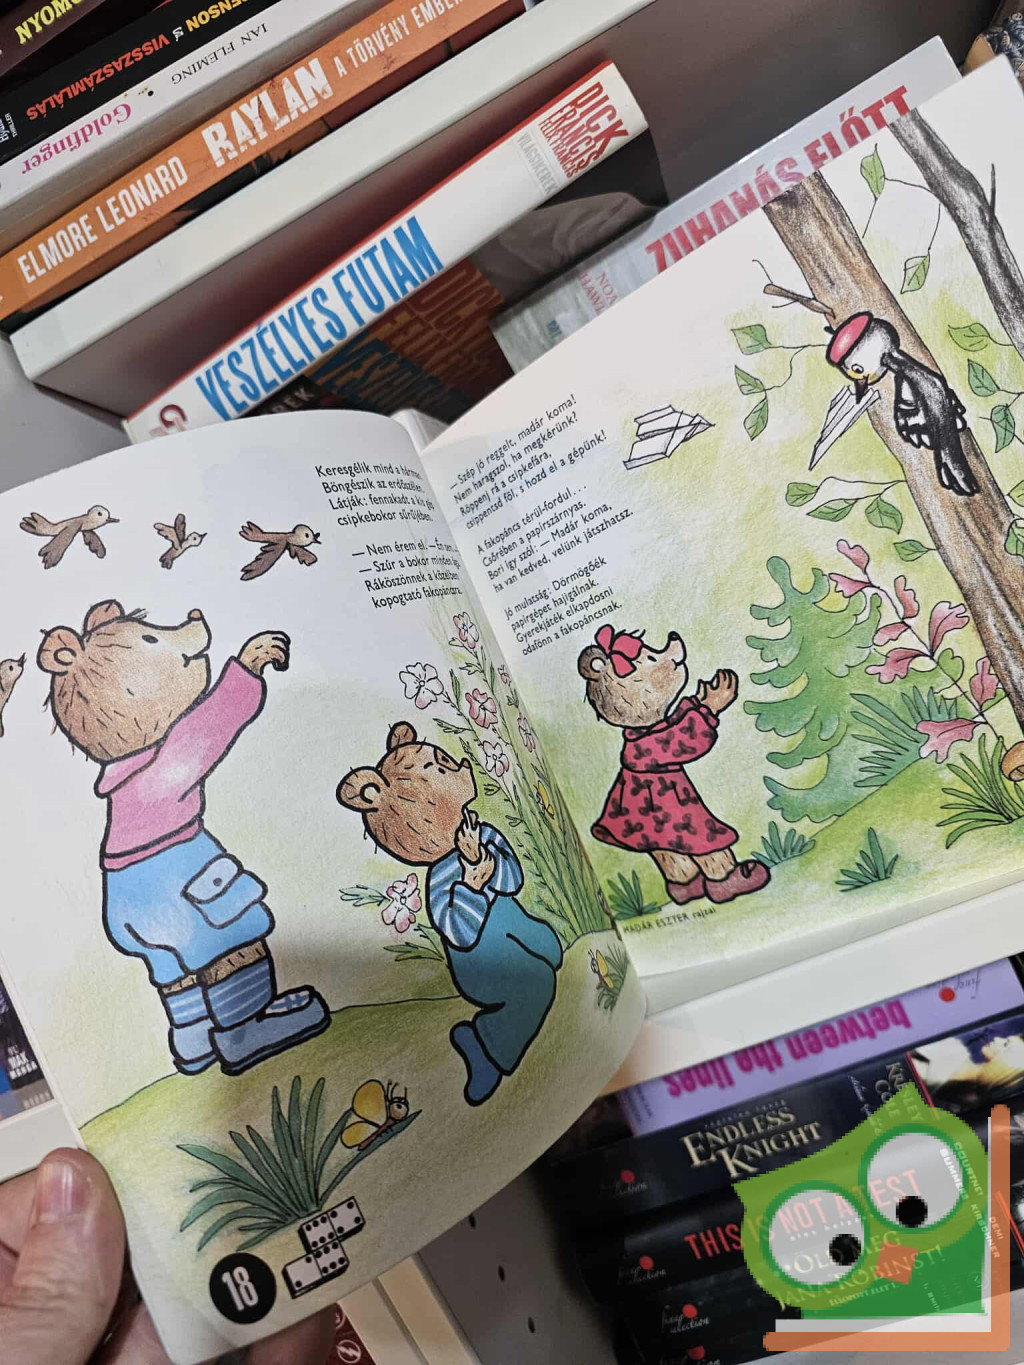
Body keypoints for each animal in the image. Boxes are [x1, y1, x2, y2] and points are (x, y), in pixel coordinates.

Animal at [37, 600, 328, 1077]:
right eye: (150, 637)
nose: (195, 613)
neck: (130, 757)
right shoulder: (173, 762)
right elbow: (212, 724)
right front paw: (254, 656)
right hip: (211, 917)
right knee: (231, 965)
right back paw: (260, 1038)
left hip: (148, 946)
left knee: (178, 988)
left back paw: (195, 1057)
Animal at [337, 722, 562, 1106]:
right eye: (438, 766)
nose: (460, 762)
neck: (448, 848)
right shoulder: (439, 885)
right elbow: (458, 923)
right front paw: (474, 865)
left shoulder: (492, 835)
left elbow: (510, 869)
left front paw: (481, 857)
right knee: (528, 990)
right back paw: (477, 1057)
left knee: (546, 947)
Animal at [577, 624, 769, 908]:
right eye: (650, 657)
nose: (674, 636)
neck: (643, 728)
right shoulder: (657, 746)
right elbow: (687, 737)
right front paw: (715, 698)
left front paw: (700, 696)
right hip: (696, 830)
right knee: (708, 853)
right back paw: (737, 882)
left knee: (672, 860)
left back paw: (686, 892)